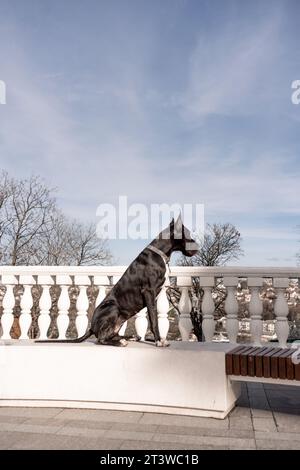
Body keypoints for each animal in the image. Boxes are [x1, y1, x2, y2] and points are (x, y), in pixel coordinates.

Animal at [36, 216, 198, 346]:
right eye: (189, 236)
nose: (198, 247)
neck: (160, 252)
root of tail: (92, 327)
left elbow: (154, 317)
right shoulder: (149, 291)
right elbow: (153, 320)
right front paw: (159, 341)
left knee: (111, 334)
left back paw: (129, 337)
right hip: (113, 307)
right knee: (101, 339)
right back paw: (121, 342)